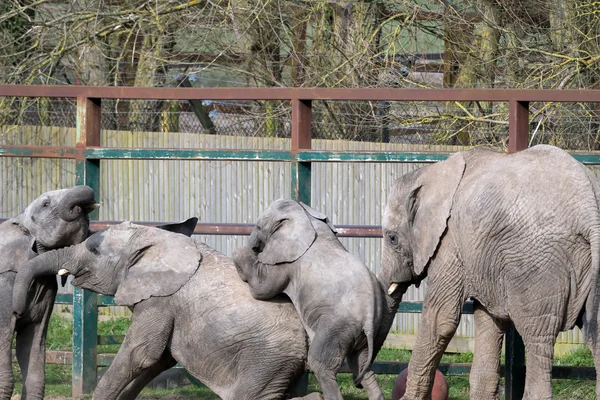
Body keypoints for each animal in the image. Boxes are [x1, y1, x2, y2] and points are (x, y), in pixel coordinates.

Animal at [12, 217, 324, 400]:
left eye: (95, 251)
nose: (17, 311)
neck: (155, 241)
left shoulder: (161, 299)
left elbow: (141, 354)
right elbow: (158, 360)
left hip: (265, 360)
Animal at [232, 200, 386, 400]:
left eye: (258, 226)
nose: (254, 248)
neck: (307, 217)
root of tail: (369, 317)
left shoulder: (288, 261)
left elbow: (262, 289)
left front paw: (240, 252)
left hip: (337, 325)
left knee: (320, 364)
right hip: (364, 333)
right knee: (362, 365)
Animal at [380, 144, 600, 400]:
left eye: (392, 238)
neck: (431, 172)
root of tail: (588, 206)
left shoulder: (449, 241)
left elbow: (440, 318)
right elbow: (488, 319)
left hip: (538, 266)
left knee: (537, 336)